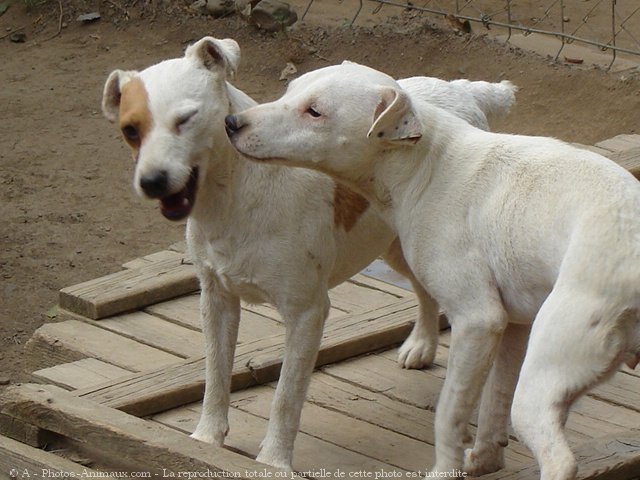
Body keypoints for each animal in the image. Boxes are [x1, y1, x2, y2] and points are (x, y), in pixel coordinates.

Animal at [102, 38, 516, 472]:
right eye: (130, 130)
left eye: (186, 119)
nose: (152, 181)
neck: (234, 197)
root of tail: (461, 89)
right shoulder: (216, 299)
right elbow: (215, 376)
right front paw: (206, 439)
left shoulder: (307, 314)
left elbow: (286, 397)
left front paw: (273, 461)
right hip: (398, 247)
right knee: (423, 292)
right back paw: (421, 344)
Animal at [225, 62, 640, 478]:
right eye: (289, 91)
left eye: (315, 112)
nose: (231, 123)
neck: (426, 165)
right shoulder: (515, 325)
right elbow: (494, 403)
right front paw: (484, 460)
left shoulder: (478, 320)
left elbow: (450, 414)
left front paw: (445, 469)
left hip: (542, 380)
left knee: (561, 459)